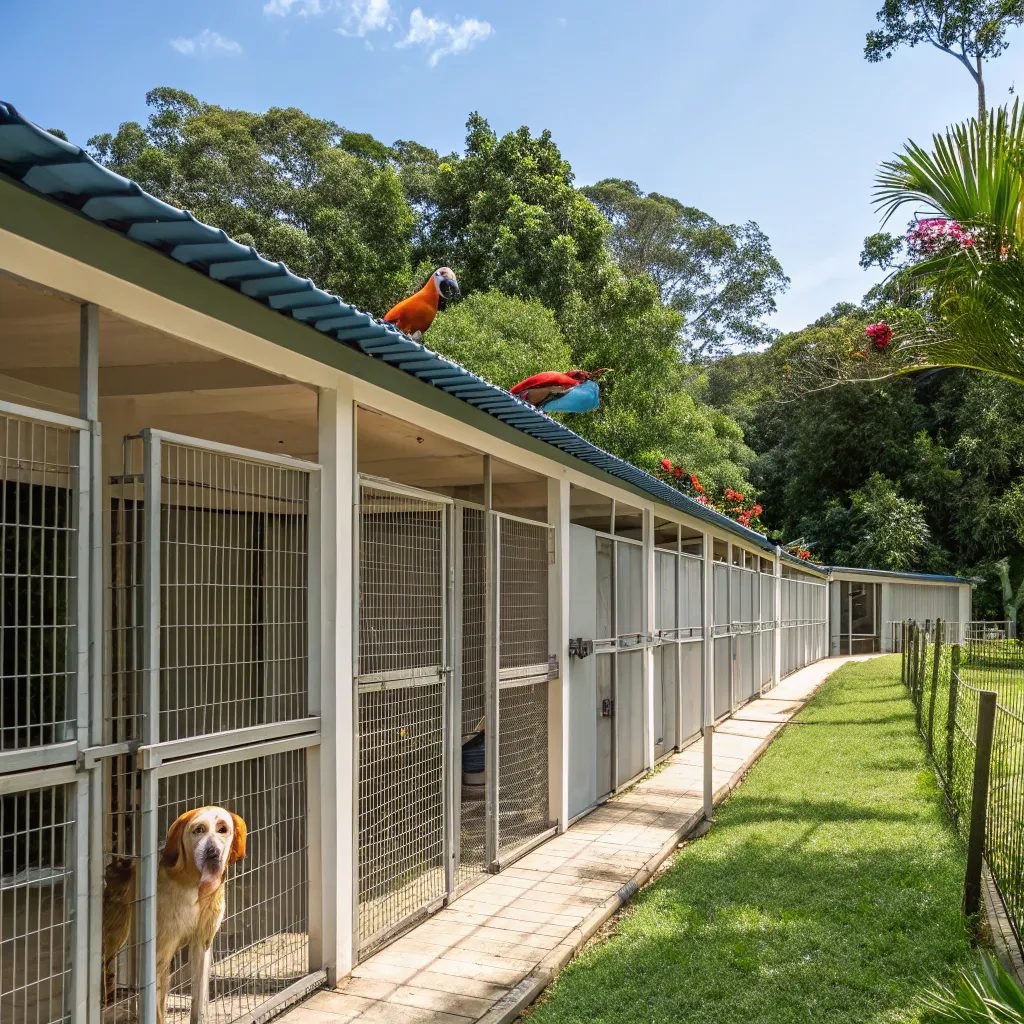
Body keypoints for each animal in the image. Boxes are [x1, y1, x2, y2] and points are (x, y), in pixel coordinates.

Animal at [156, 806, 246, 1024]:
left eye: (223, 829)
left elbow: (198, 1001)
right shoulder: (160, 954)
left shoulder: (202, 943)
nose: (213, 852)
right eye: (199, 830)